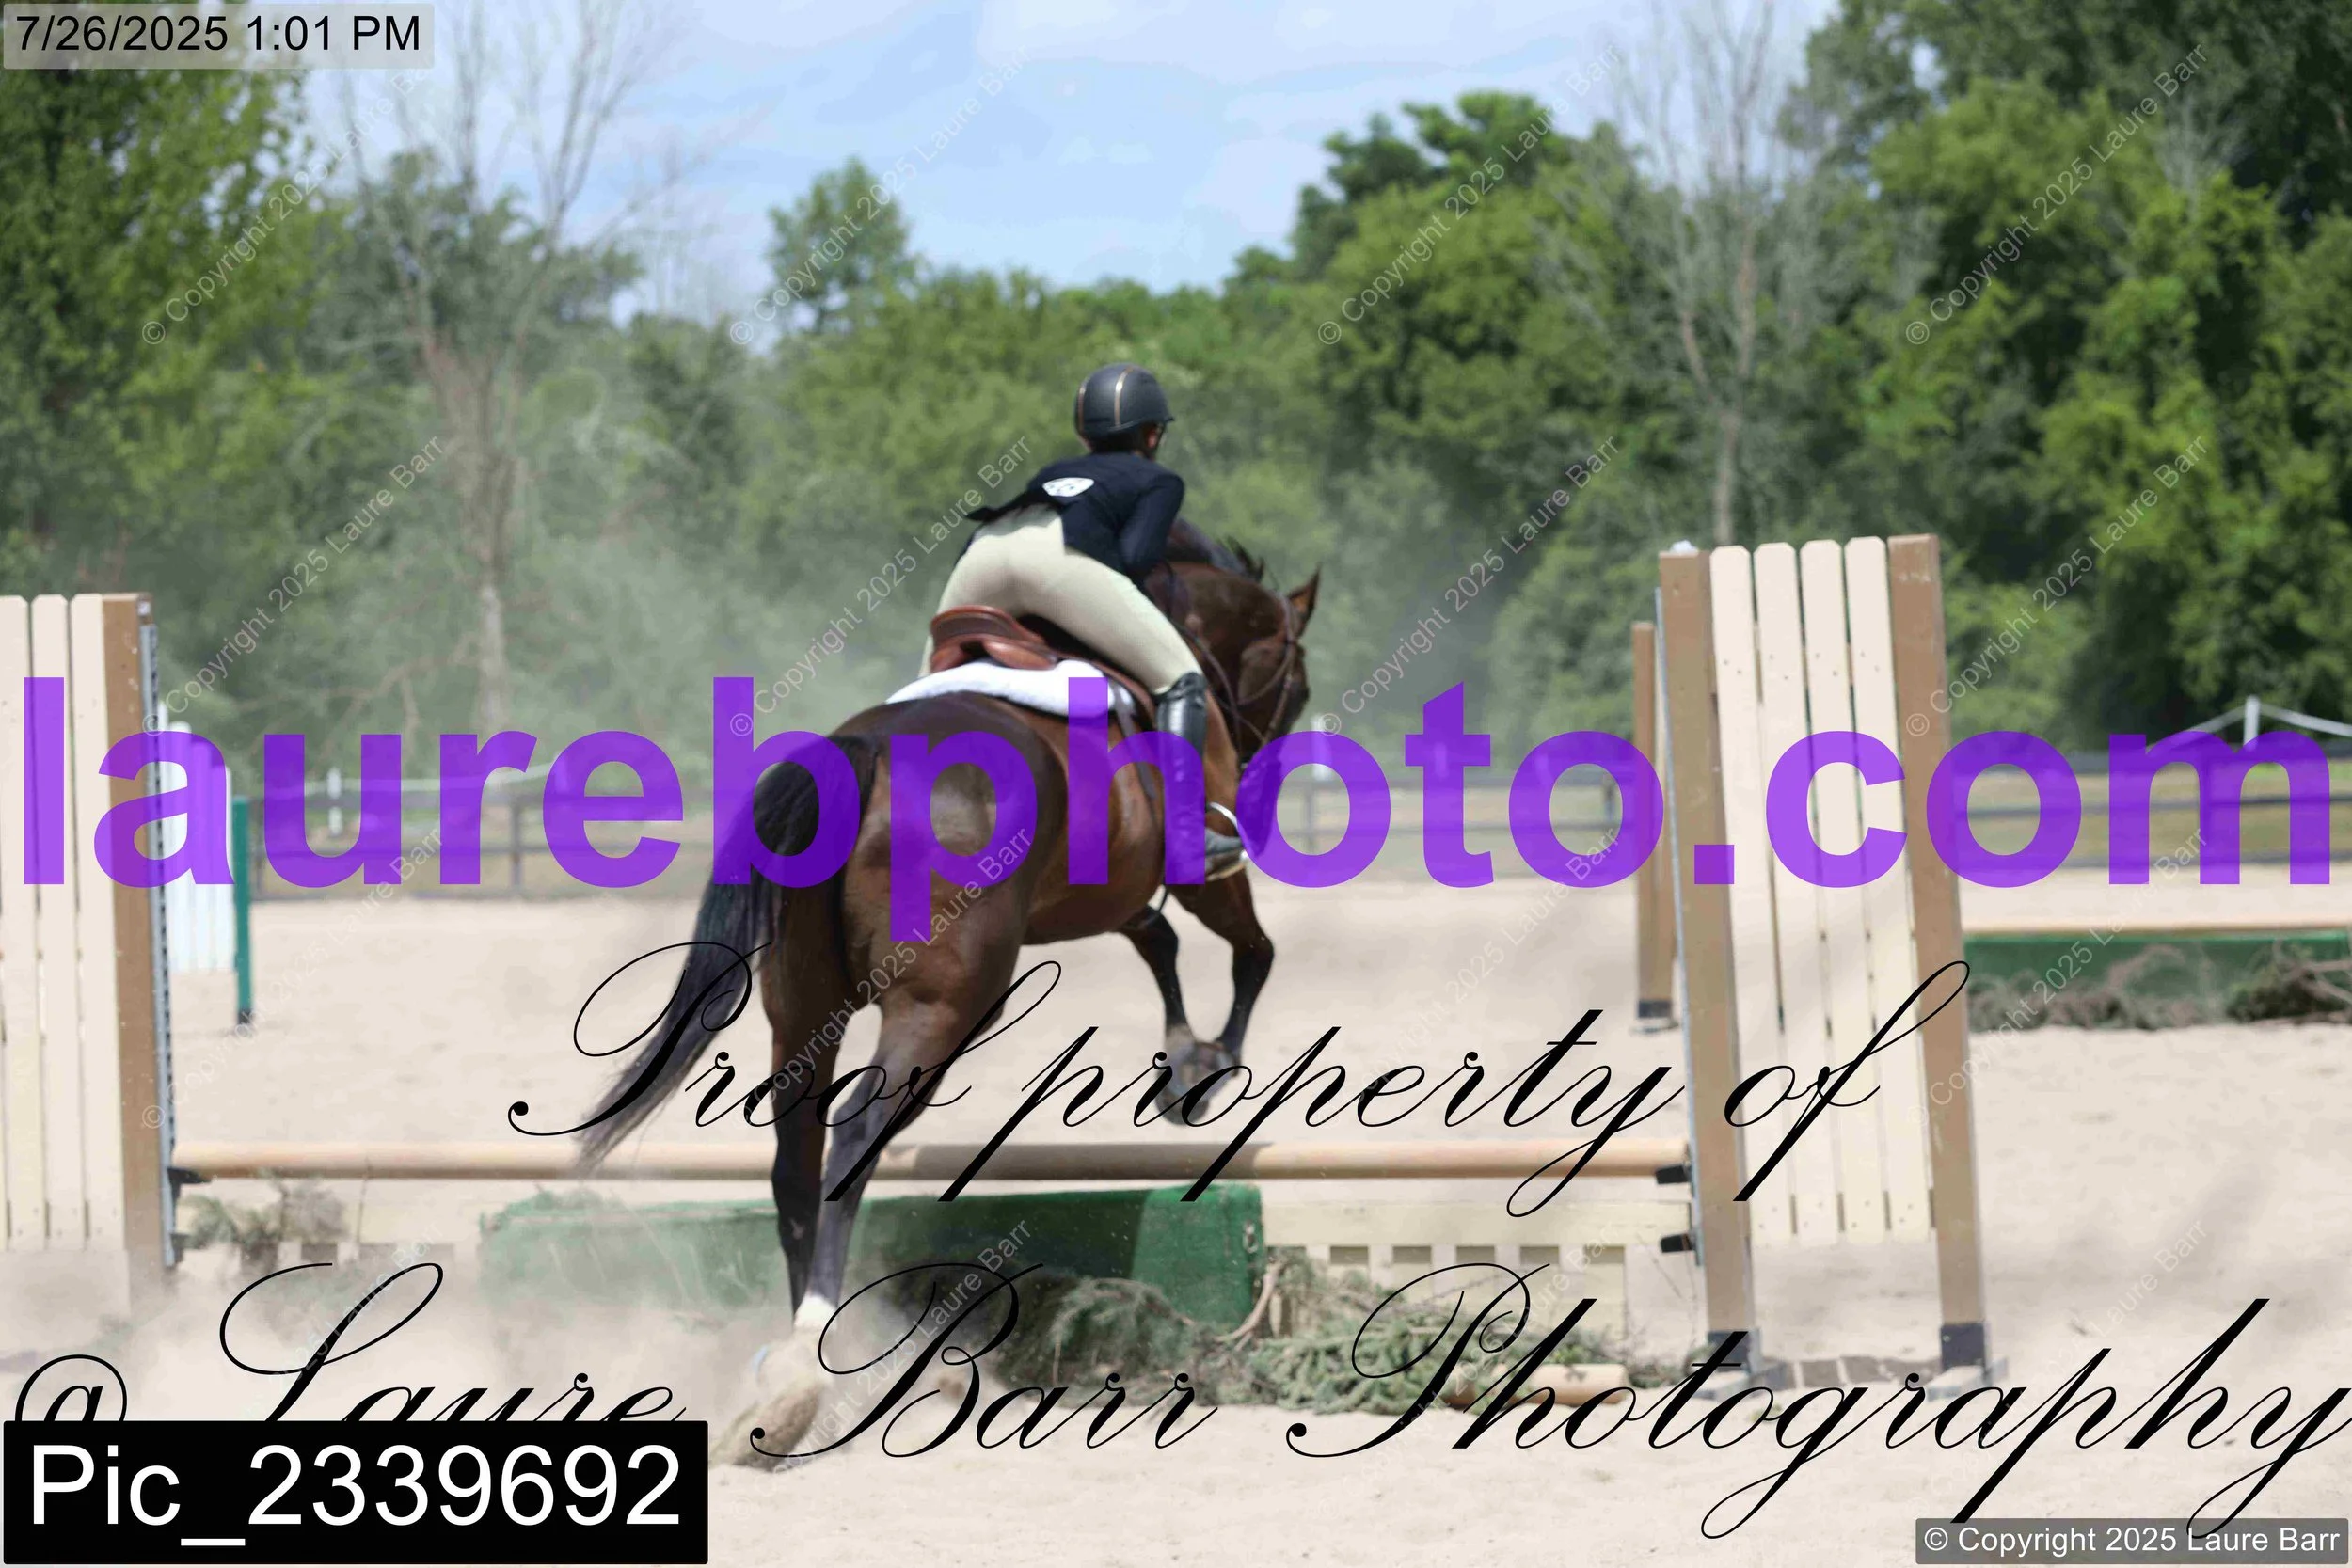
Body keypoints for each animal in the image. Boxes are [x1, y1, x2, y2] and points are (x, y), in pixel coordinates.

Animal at [578, 526, 1315, 1462]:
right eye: (1296, 682)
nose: (1263, 761)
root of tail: (861, 753)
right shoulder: (1194, 870)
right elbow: (1250, 950)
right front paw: (1203, 1071)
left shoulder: (1095, 898)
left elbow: (1158, 940)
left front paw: (1183, 1059)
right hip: (937, 1006)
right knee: (853, 1135)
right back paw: (811, 1363)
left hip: (806, 1008)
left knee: (797, 1152)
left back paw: (797, 1363)